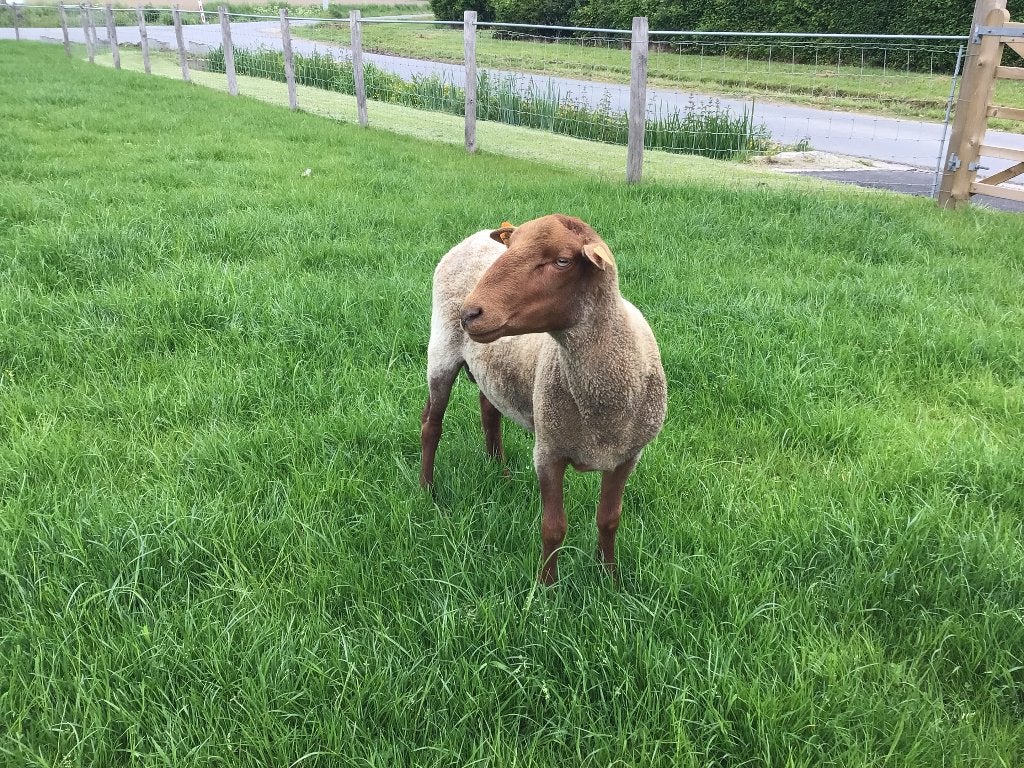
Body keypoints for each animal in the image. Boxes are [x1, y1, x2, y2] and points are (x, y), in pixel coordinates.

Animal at [420, 214, 667, 584]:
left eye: (563, 261)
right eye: (511, 245)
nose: (470, 313)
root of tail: (474, 236)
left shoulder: (627, 457)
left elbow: (609, 519)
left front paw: (609, 578)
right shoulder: (548, 453)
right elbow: (553, 528)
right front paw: (546, 587)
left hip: (494, 368)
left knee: (489, 410)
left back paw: (500, 470)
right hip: (442, 351)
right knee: (431, 425)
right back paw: (426, 489)